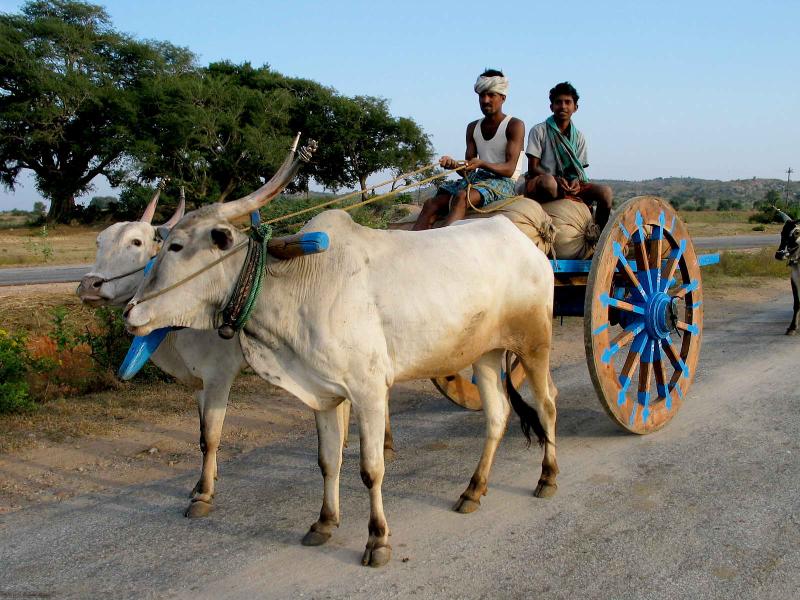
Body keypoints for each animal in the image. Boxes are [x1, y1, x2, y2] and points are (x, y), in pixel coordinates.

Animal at [123, 156, 559, 568]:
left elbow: (371, 469)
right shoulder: (323, 393)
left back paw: (547, 478)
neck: (298, 280)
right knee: (497, 416)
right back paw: (473, 490)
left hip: (535, 344)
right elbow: (328, 460)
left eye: (176, 246)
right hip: (485, 354)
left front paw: (377, 539)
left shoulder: (369, 391)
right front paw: (324, 521)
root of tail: (520, 239)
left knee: (547, 404)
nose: (131, 311)